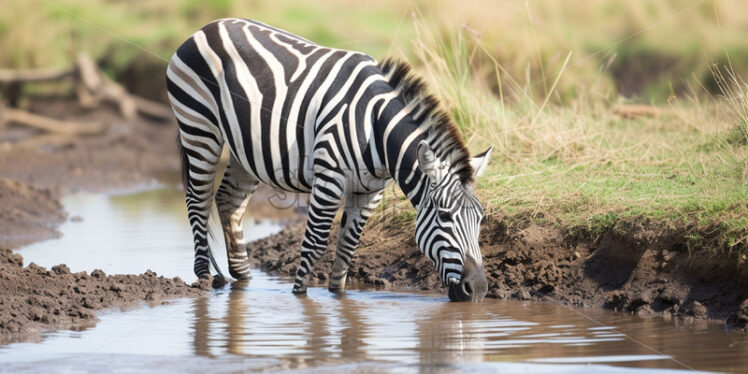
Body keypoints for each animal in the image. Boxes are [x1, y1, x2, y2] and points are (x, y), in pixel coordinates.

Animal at [167, 19, 494, 302]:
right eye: (445, 216)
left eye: (480, 219)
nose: (478, 289)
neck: (375, 127)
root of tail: (209, 26)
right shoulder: (329, 179)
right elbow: (314, 244)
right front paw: (300, 297)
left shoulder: (370, 190)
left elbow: (348, 245)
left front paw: (340, 298)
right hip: (199, 126)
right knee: (197, 200)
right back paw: (205, 278)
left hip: (243, 149)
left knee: (229, 200)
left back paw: (243, 278)